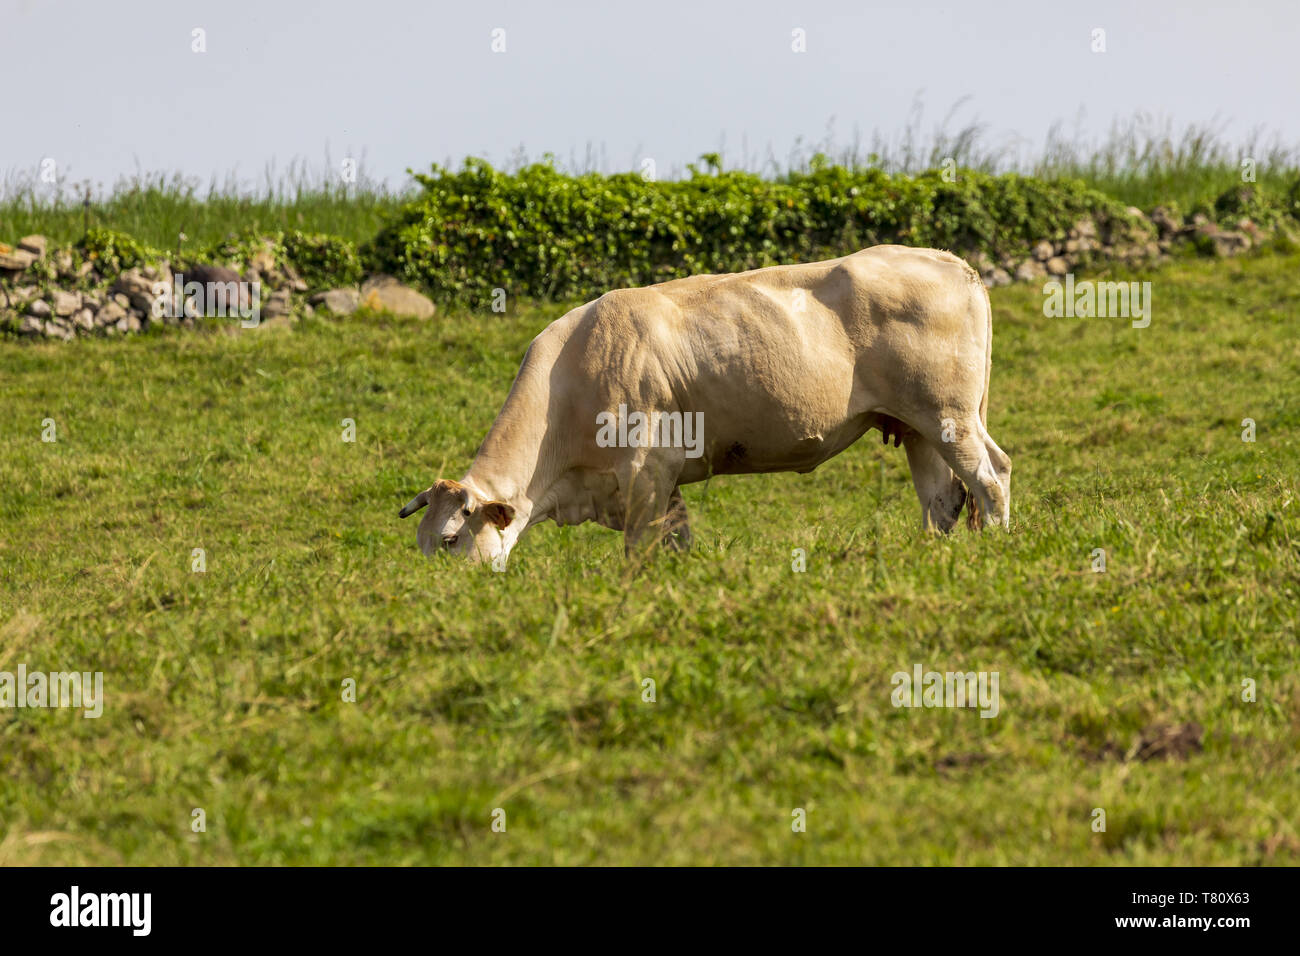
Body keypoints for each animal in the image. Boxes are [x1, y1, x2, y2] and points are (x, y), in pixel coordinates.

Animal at [400, 243, 1008, 564]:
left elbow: (641, 548)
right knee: (943, 497)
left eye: (450, 539)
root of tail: (950, 261)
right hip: (917, 425)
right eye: (421, 544)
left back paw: (997, 545)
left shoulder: (647, 467)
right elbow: (677, 538)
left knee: (991, 476)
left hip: (948, 414)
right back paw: (930, 556)